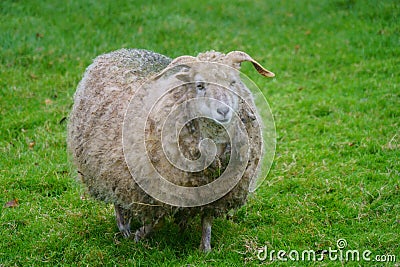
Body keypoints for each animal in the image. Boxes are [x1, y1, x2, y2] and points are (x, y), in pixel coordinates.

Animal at [68, 48, 276, 253]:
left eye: (233, 82)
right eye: (199, 85)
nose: (223, 111)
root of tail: (116, 52)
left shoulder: (216, 192)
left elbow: (207, 221)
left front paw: (205, 248)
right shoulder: (152, 187)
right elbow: (152, 220)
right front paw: (139, 235)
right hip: (106, 168)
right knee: (116, 197)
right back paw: (124, 227)